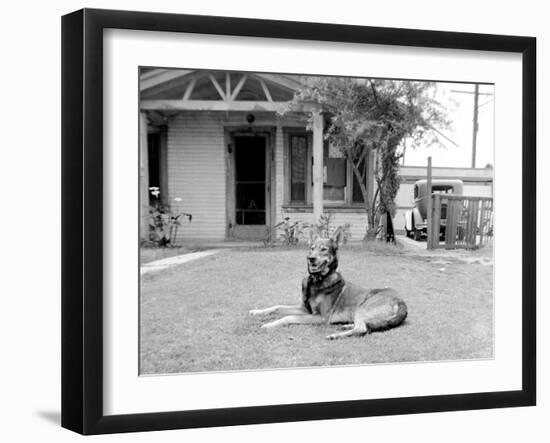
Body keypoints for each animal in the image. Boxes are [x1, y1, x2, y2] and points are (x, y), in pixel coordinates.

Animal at [250, 229, 410, 340]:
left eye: (323, 249)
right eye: (312, 248)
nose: (310, 258)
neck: (316, 281)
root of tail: (400, 301)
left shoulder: (319, 317)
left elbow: (288, 317)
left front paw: (269, 325)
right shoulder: (305, 309)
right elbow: (277, 307)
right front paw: (257, 312)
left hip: (362, 308)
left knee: (362, 329)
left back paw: (335, 335)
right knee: (365, 325)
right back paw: (346, 325)